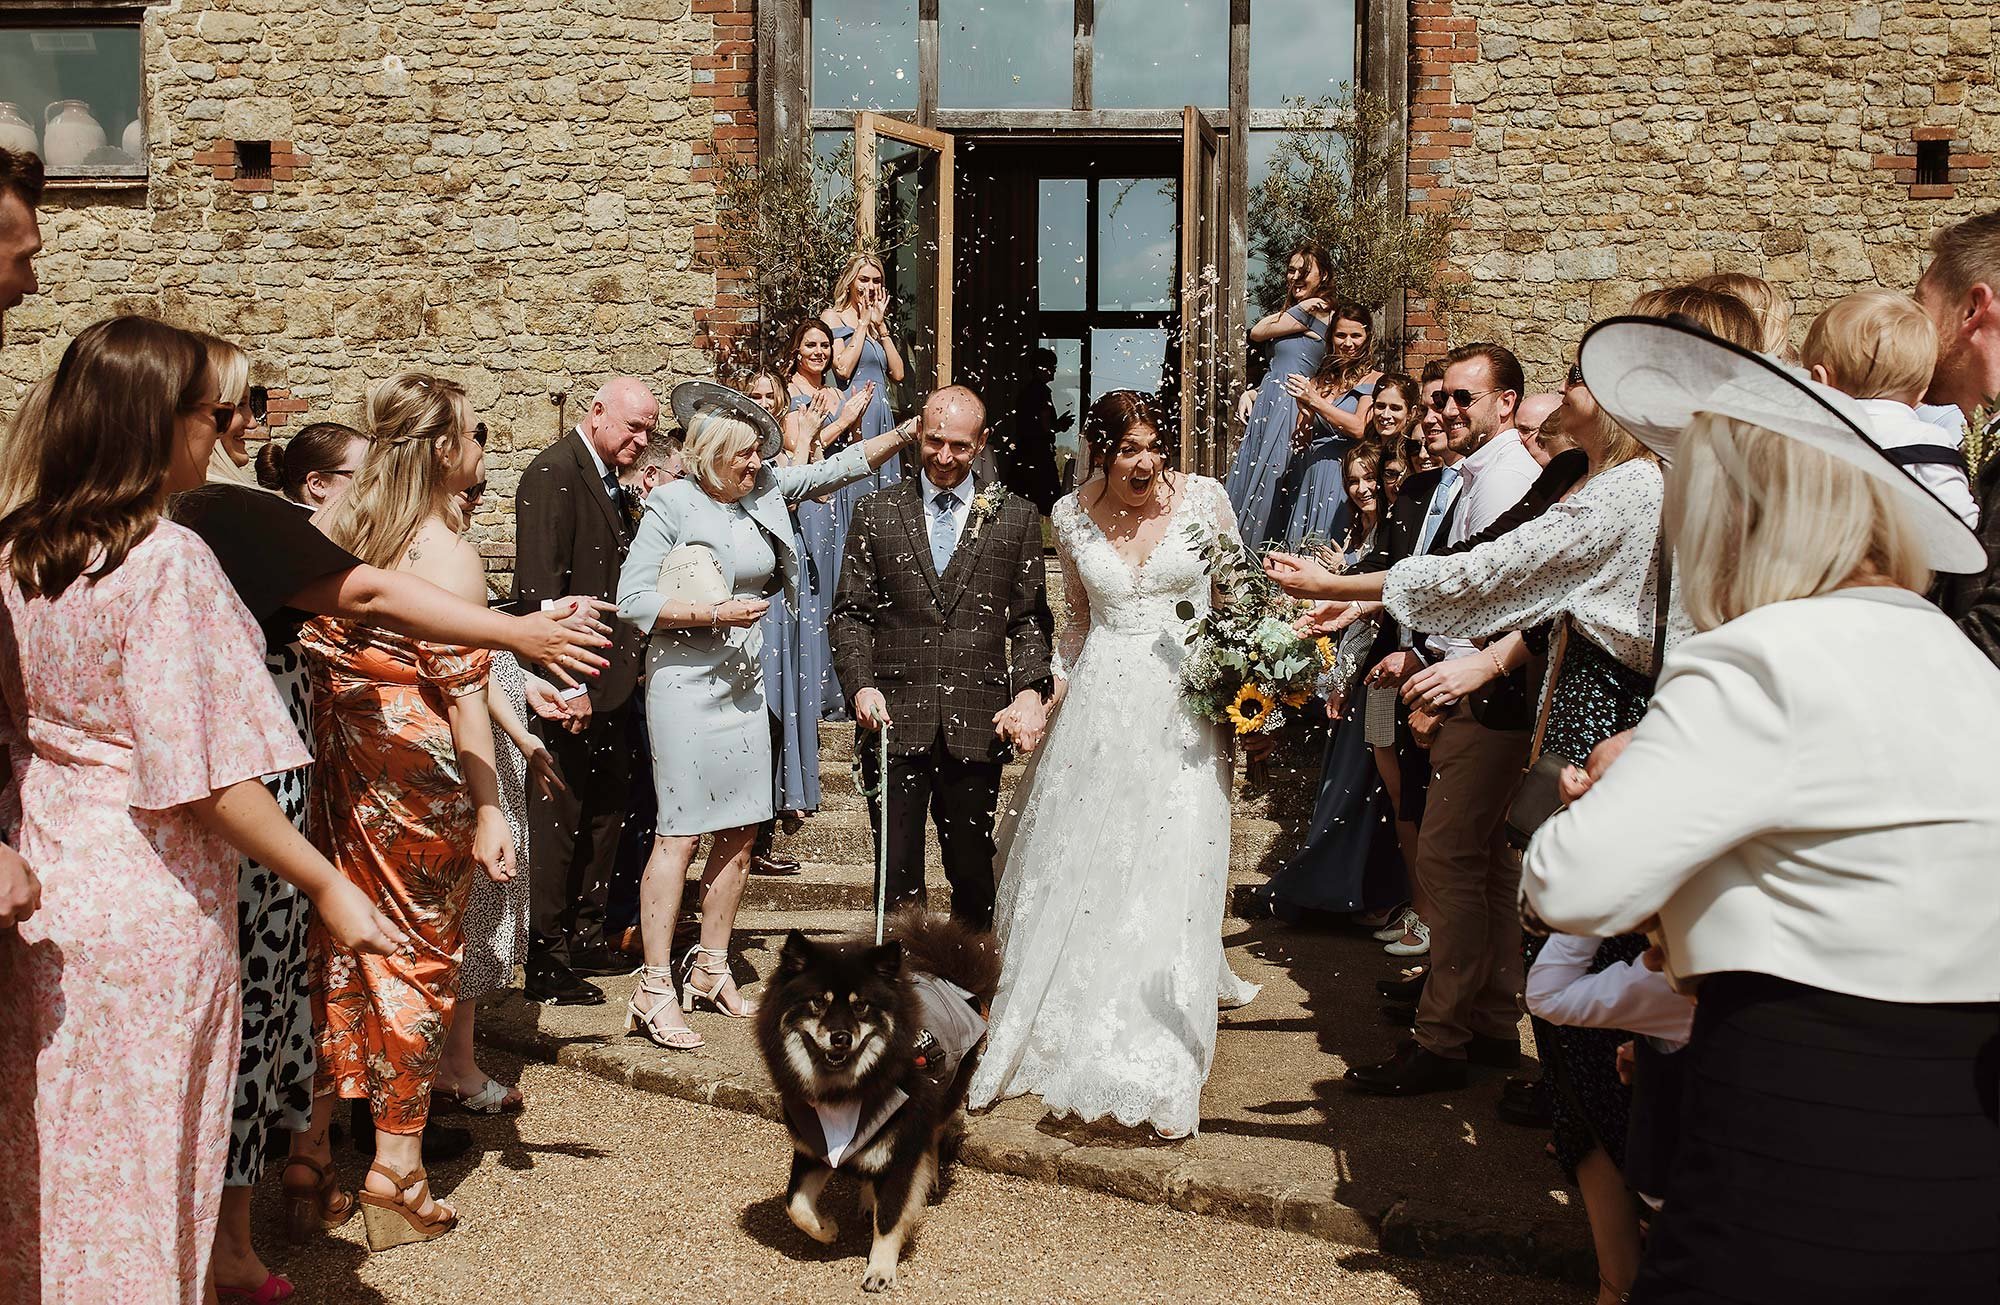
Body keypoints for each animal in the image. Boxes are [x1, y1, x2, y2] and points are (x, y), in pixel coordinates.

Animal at [752, 912, 1000, 1288]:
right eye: (818, 1001)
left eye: (861, 1005)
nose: (840, 1037)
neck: (844, 1094)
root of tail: (948, 973)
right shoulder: (814, 1146)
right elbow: (795, 1205)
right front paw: (826, 1228)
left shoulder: (900, 1153)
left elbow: (890, 1218)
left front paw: (881, 1270)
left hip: (943, 1096)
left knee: (933, 1136)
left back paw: (929, 1178)